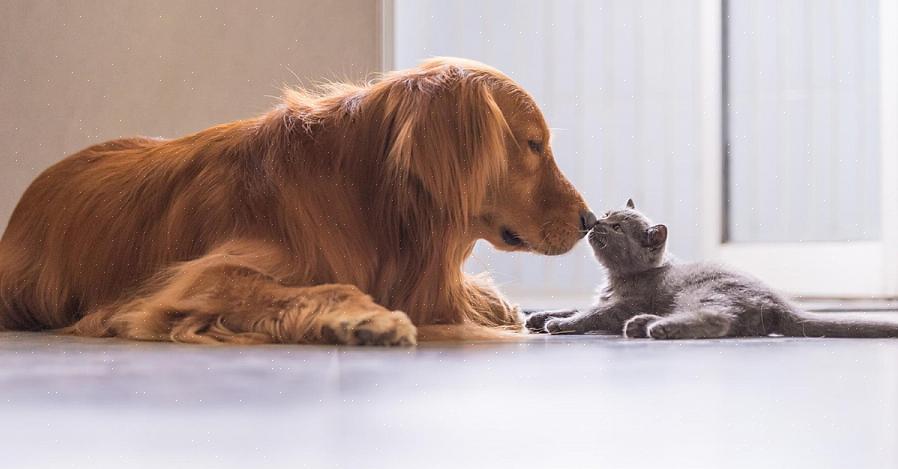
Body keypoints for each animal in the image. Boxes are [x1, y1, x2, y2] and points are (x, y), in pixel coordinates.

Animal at [520, 199, 896, 338]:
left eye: (615, 228)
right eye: (608, 214)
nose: (596, 221)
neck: (617, 279)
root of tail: (778, 301)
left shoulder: (622, 305)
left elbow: (591, 314)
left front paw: (560, 323)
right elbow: (578, 306)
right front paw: (539, 316)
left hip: (704, 293)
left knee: (719, 321)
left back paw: (657, 327)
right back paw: (643, 324)